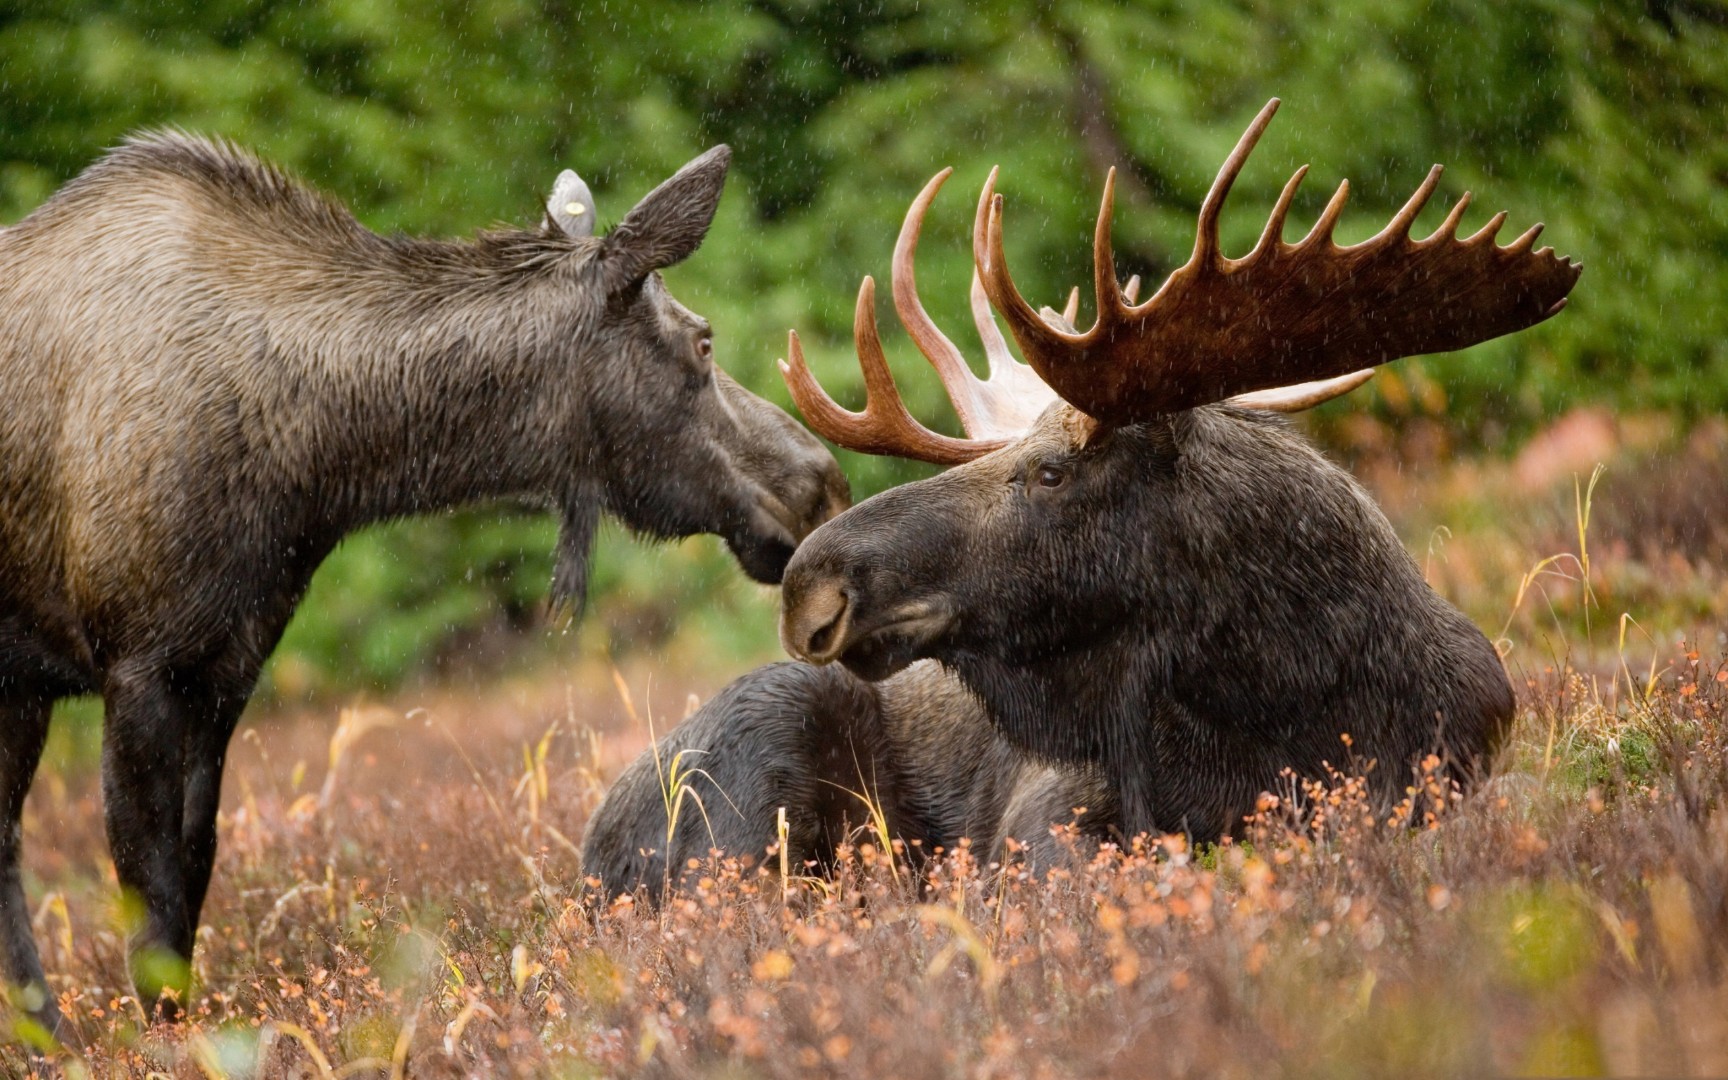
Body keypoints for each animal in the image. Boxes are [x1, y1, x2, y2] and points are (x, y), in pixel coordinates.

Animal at [0, 134, 850, 1029]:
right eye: (703, 341)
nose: (820, 483)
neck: (316, 464)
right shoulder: (138, 664)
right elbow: (151, 898)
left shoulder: (225, 666)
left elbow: (194, 870)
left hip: (21, 689)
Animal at [580, 94, 1582, 898]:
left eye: (1052, 471)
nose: (811, 584)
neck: (1289, 700)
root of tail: (586, 855)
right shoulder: (1050, 813)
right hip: (758, 763)